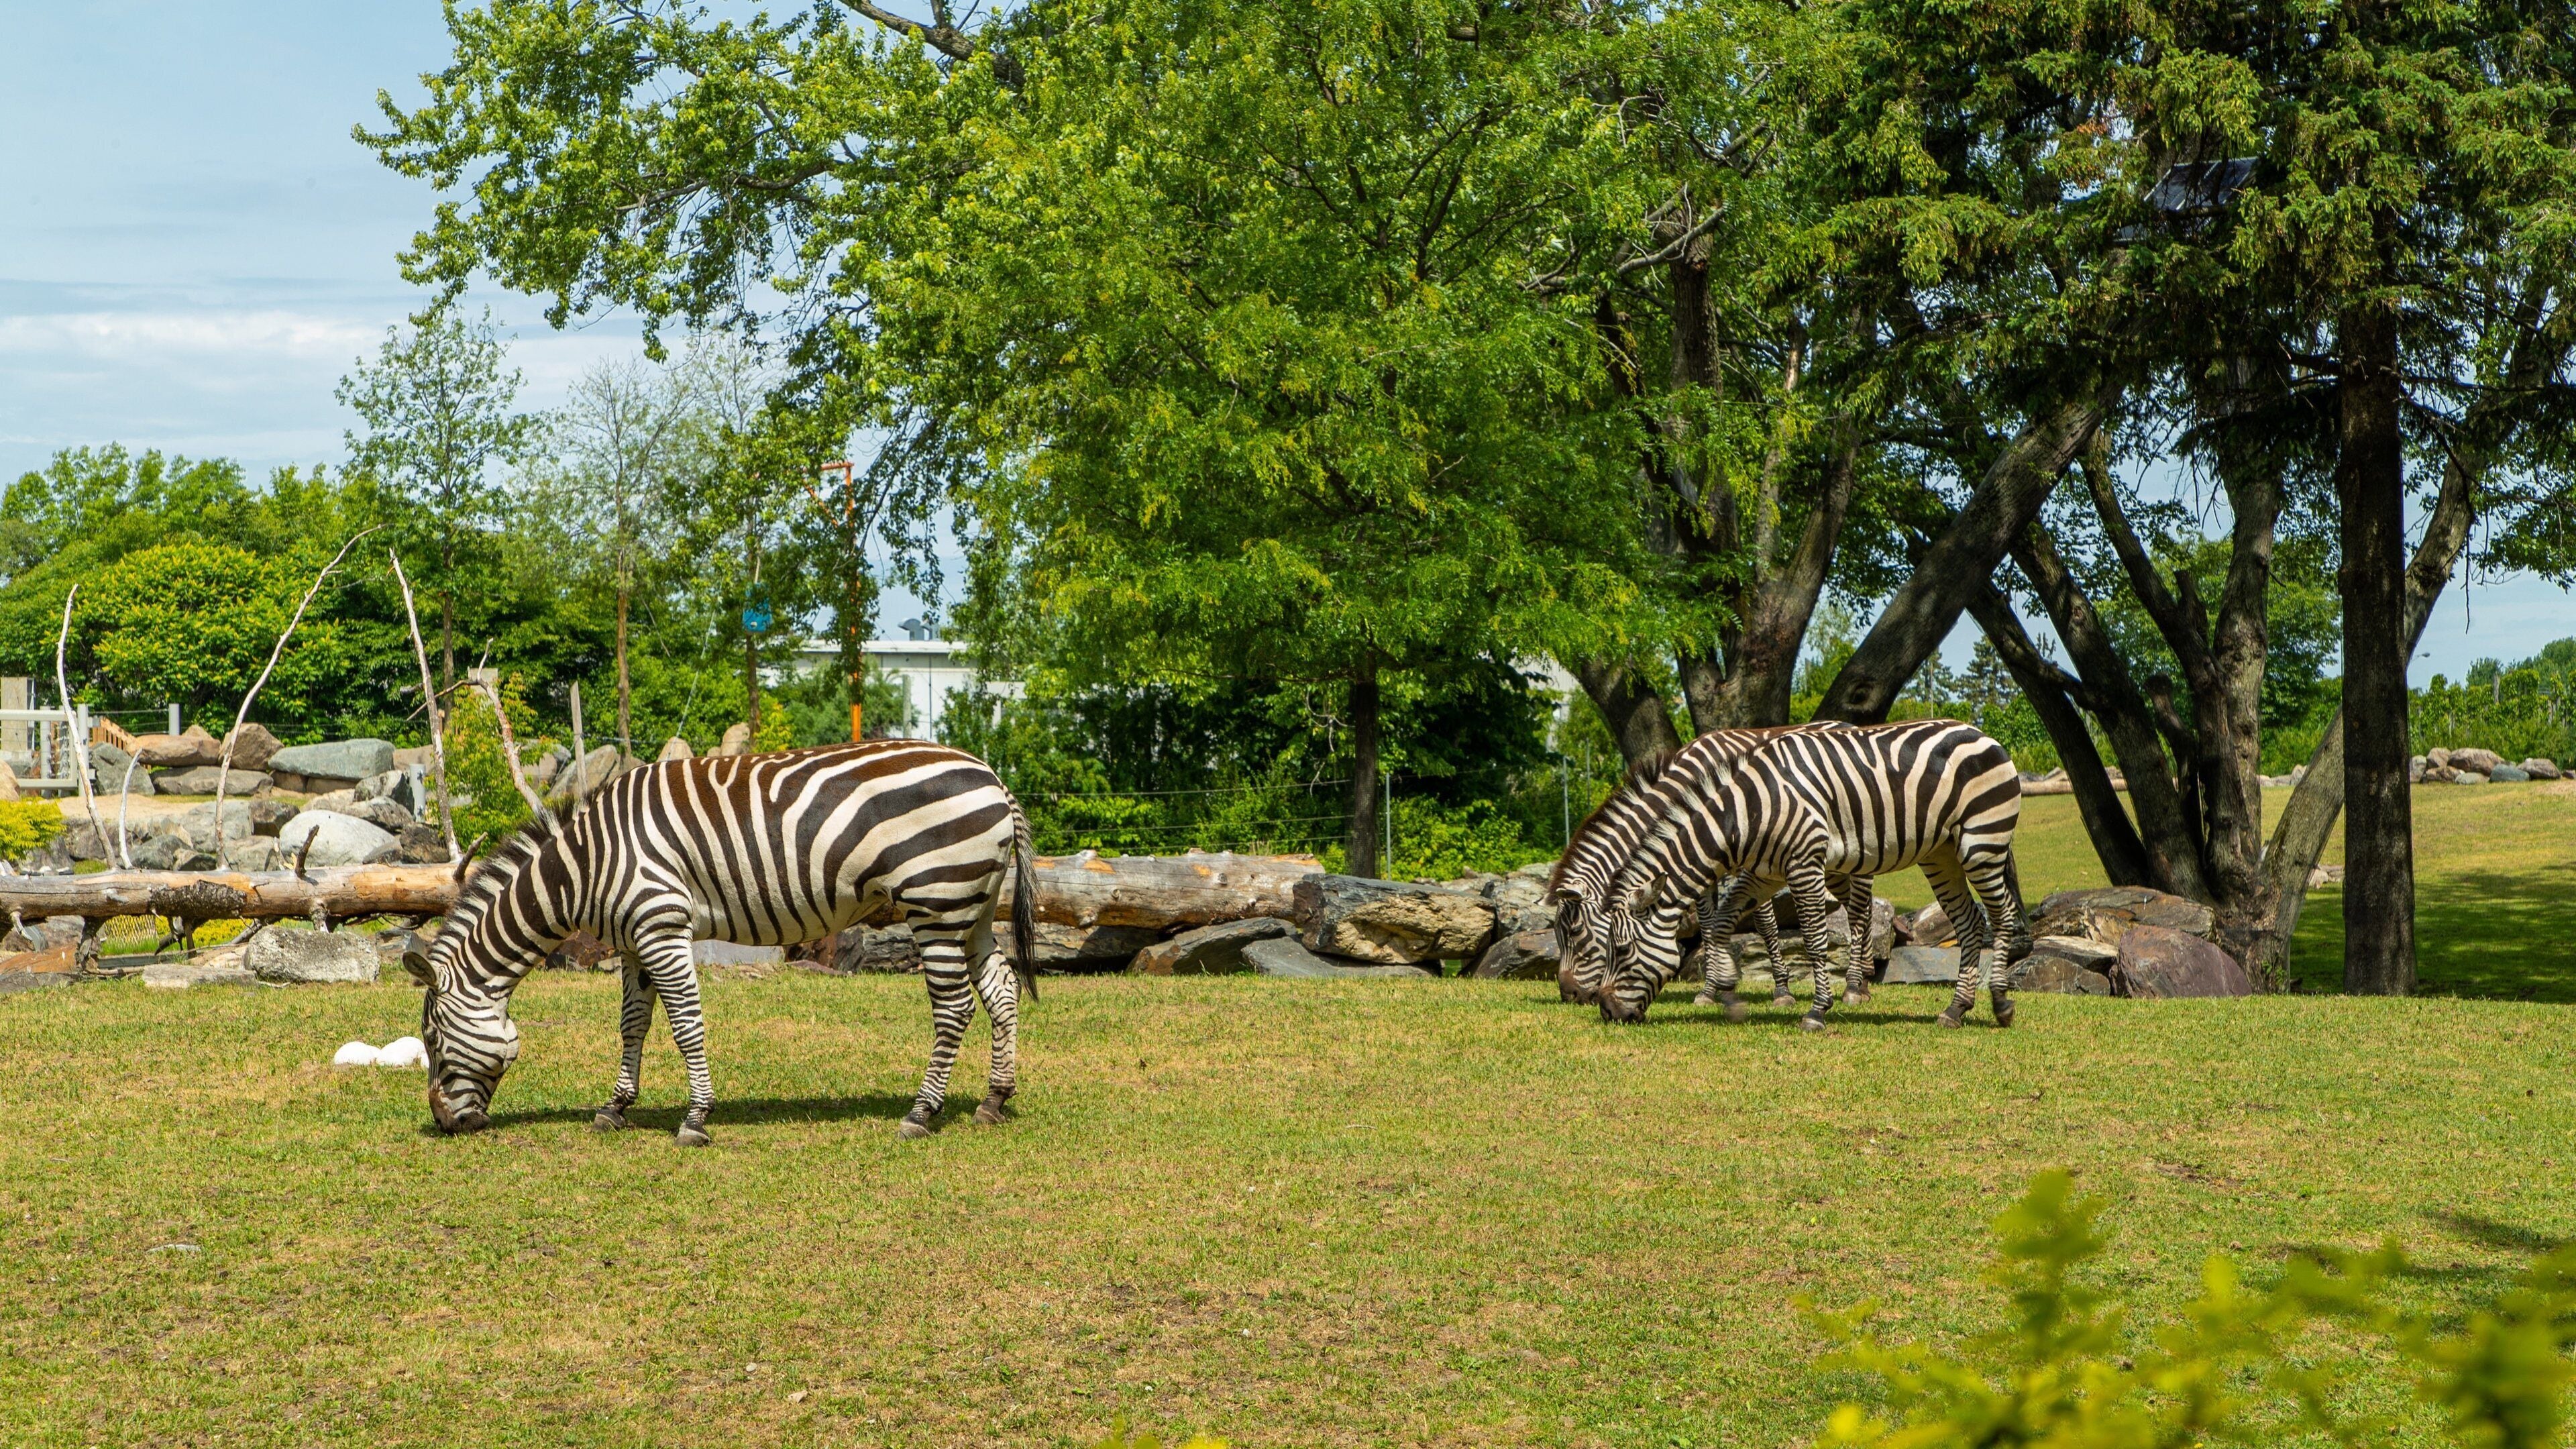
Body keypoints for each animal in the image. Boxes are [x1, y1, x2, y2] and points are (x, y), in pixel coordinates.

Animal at [401, 740, 1038, 1145]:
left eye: (433, 1040)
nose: (445, 1125)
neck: (586, 866)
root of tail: (993, 776)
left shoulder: (662, 925)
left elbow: (686, 1025)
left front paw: (695, 1118)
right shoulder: (633, 941)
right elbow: (633, 1025)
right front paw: (615, 1108)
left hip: (936, 900)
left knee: (954, 1008)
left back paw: (921, 1113)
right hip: (974, 907)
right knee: (1002, 990)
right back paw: (994, 1100)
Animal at [1547, 724, 1843, 1011]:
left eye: (1574, 932)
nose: (1568, 996)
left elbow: (1766, 924)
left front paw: (1782, 990)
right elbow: (1708, 926)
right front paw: (1710, 990)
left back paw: (1851, 988)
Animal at [1598, 719, 2028, 1031]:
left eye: (1622, 950)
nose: (1604, 1011)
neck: (1748, 812)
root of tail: (1981, 732)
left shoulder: (1804, 863)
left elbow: (1814, 939)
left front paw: (1817, 1010)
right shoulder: (1763, 875)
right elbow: (1719, 926)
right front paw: (1729, 995)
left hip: (1982, 842)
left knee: (2002, 915)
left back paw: (2001, 1003)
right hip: (1941, 854)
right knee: (1970, 922)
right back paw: (1956, 1009)